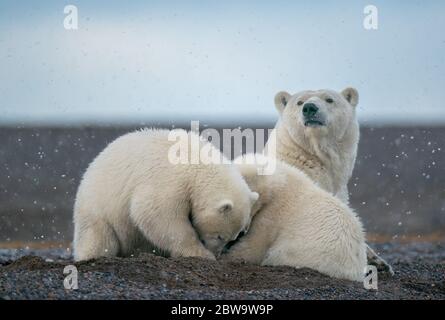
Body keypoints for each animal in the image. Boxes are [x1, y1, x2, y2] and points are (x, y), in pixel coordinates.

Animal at [73, 129, 256, 262]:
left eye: (234, 238)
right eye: (219, 236)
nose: (217, 253)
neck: (197, 165)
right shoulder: (170, 181)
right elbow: (157, 214)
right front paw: (201, 254)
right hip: (97, 209)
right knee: (100, 237)